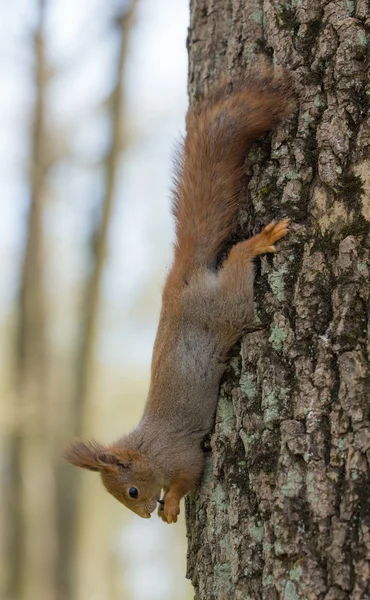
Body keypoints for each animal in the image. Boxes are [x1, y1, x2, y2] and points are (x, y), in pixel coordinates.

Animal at [64, 68, 294, 524]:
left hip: (227, 306)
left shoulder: (183, 454)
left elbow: (189, 476)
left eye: (132, 491)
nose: (144, 515)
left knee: (238, 260)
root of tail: (180, 280)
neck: (150, 451)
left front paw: (171, 505)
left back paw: (259, 242)